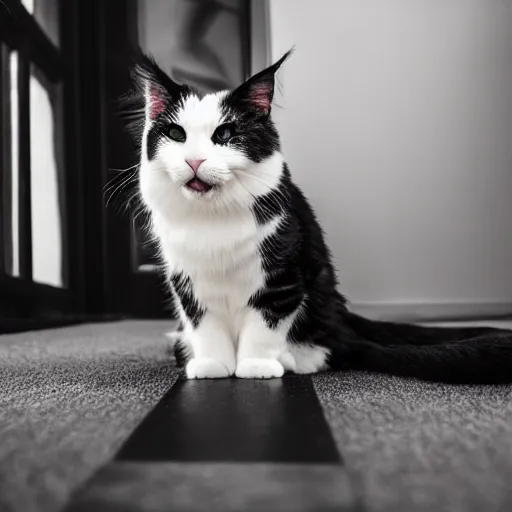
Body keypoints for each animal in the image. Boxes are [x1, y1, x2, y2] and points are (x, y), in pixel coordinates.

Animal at [128, 51, 512, 384]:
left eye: (224, 134)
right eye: (176, 134)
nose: (194, 160)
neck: (212, 218)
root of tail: (345, 319)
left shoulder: (282, 277)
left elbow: (264, 325)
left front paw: (256, 366)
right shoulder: (187, 282)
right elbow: (205, 326)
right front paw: (213, 365)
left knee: (330, 350)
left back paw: (289, 359)